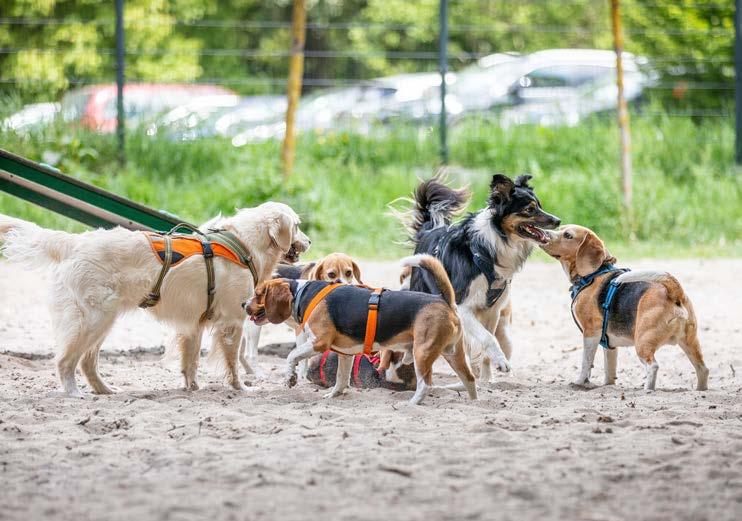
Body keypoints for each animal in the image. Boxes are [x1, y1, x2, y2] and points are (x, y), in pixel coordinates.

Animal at [0, 202, 310, 396]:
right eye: (297, 226)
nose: (310, 242)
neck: (243, 244)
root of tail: (75, 242)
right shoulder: (232, 322)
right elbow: (232, 363)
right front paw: (241, 388)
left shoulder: (194, 324)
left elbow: (191, 362)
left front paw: (192, 387)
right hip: (92, 319)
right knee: (65, 361)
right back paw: (75, 393)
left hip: (103, 321)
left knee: (87, 363)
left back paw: (106, 391)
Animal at [244, 254, 477, 405]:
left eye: (258, 294)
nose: (243, 304)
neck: (302, 292)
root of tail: (443, 299)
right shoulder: (345, 354)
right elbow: (341, 379)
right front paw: (333, 396)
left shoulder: (319, 342)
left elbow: (291, 356)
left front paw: (290, 378)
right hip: (453, 354)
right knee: (470, 379)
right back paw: (474, 404)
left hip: (423, 353)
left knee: (426, 384)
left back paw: (412, 403)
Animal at [393, 174, 560, 382]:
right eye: (529, 209)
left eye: (539, 205)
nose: (558, 221)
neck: (489, 249)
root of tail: (429, 230)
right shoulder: (462, 307)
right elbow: (488, 338)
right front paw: (501, 362)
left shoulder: (492, 310)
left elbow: (488, 342)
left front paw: (487, 378)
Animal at [540, 224, 709, 391]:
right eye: (560, 228)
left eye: (568, 235)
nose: (545, 233)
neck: (594, 274)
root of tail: (674, 291)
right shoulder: (608, 344)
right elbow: (609, 369)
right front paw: (608, 385)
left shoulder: (590, 333)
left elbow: (586, 362)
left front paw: (580, 382)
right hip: (690, 342)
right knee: (703, 369)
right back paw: (700, 390)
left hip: (642, 341)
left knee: (653, 366)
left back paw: (647, 389)